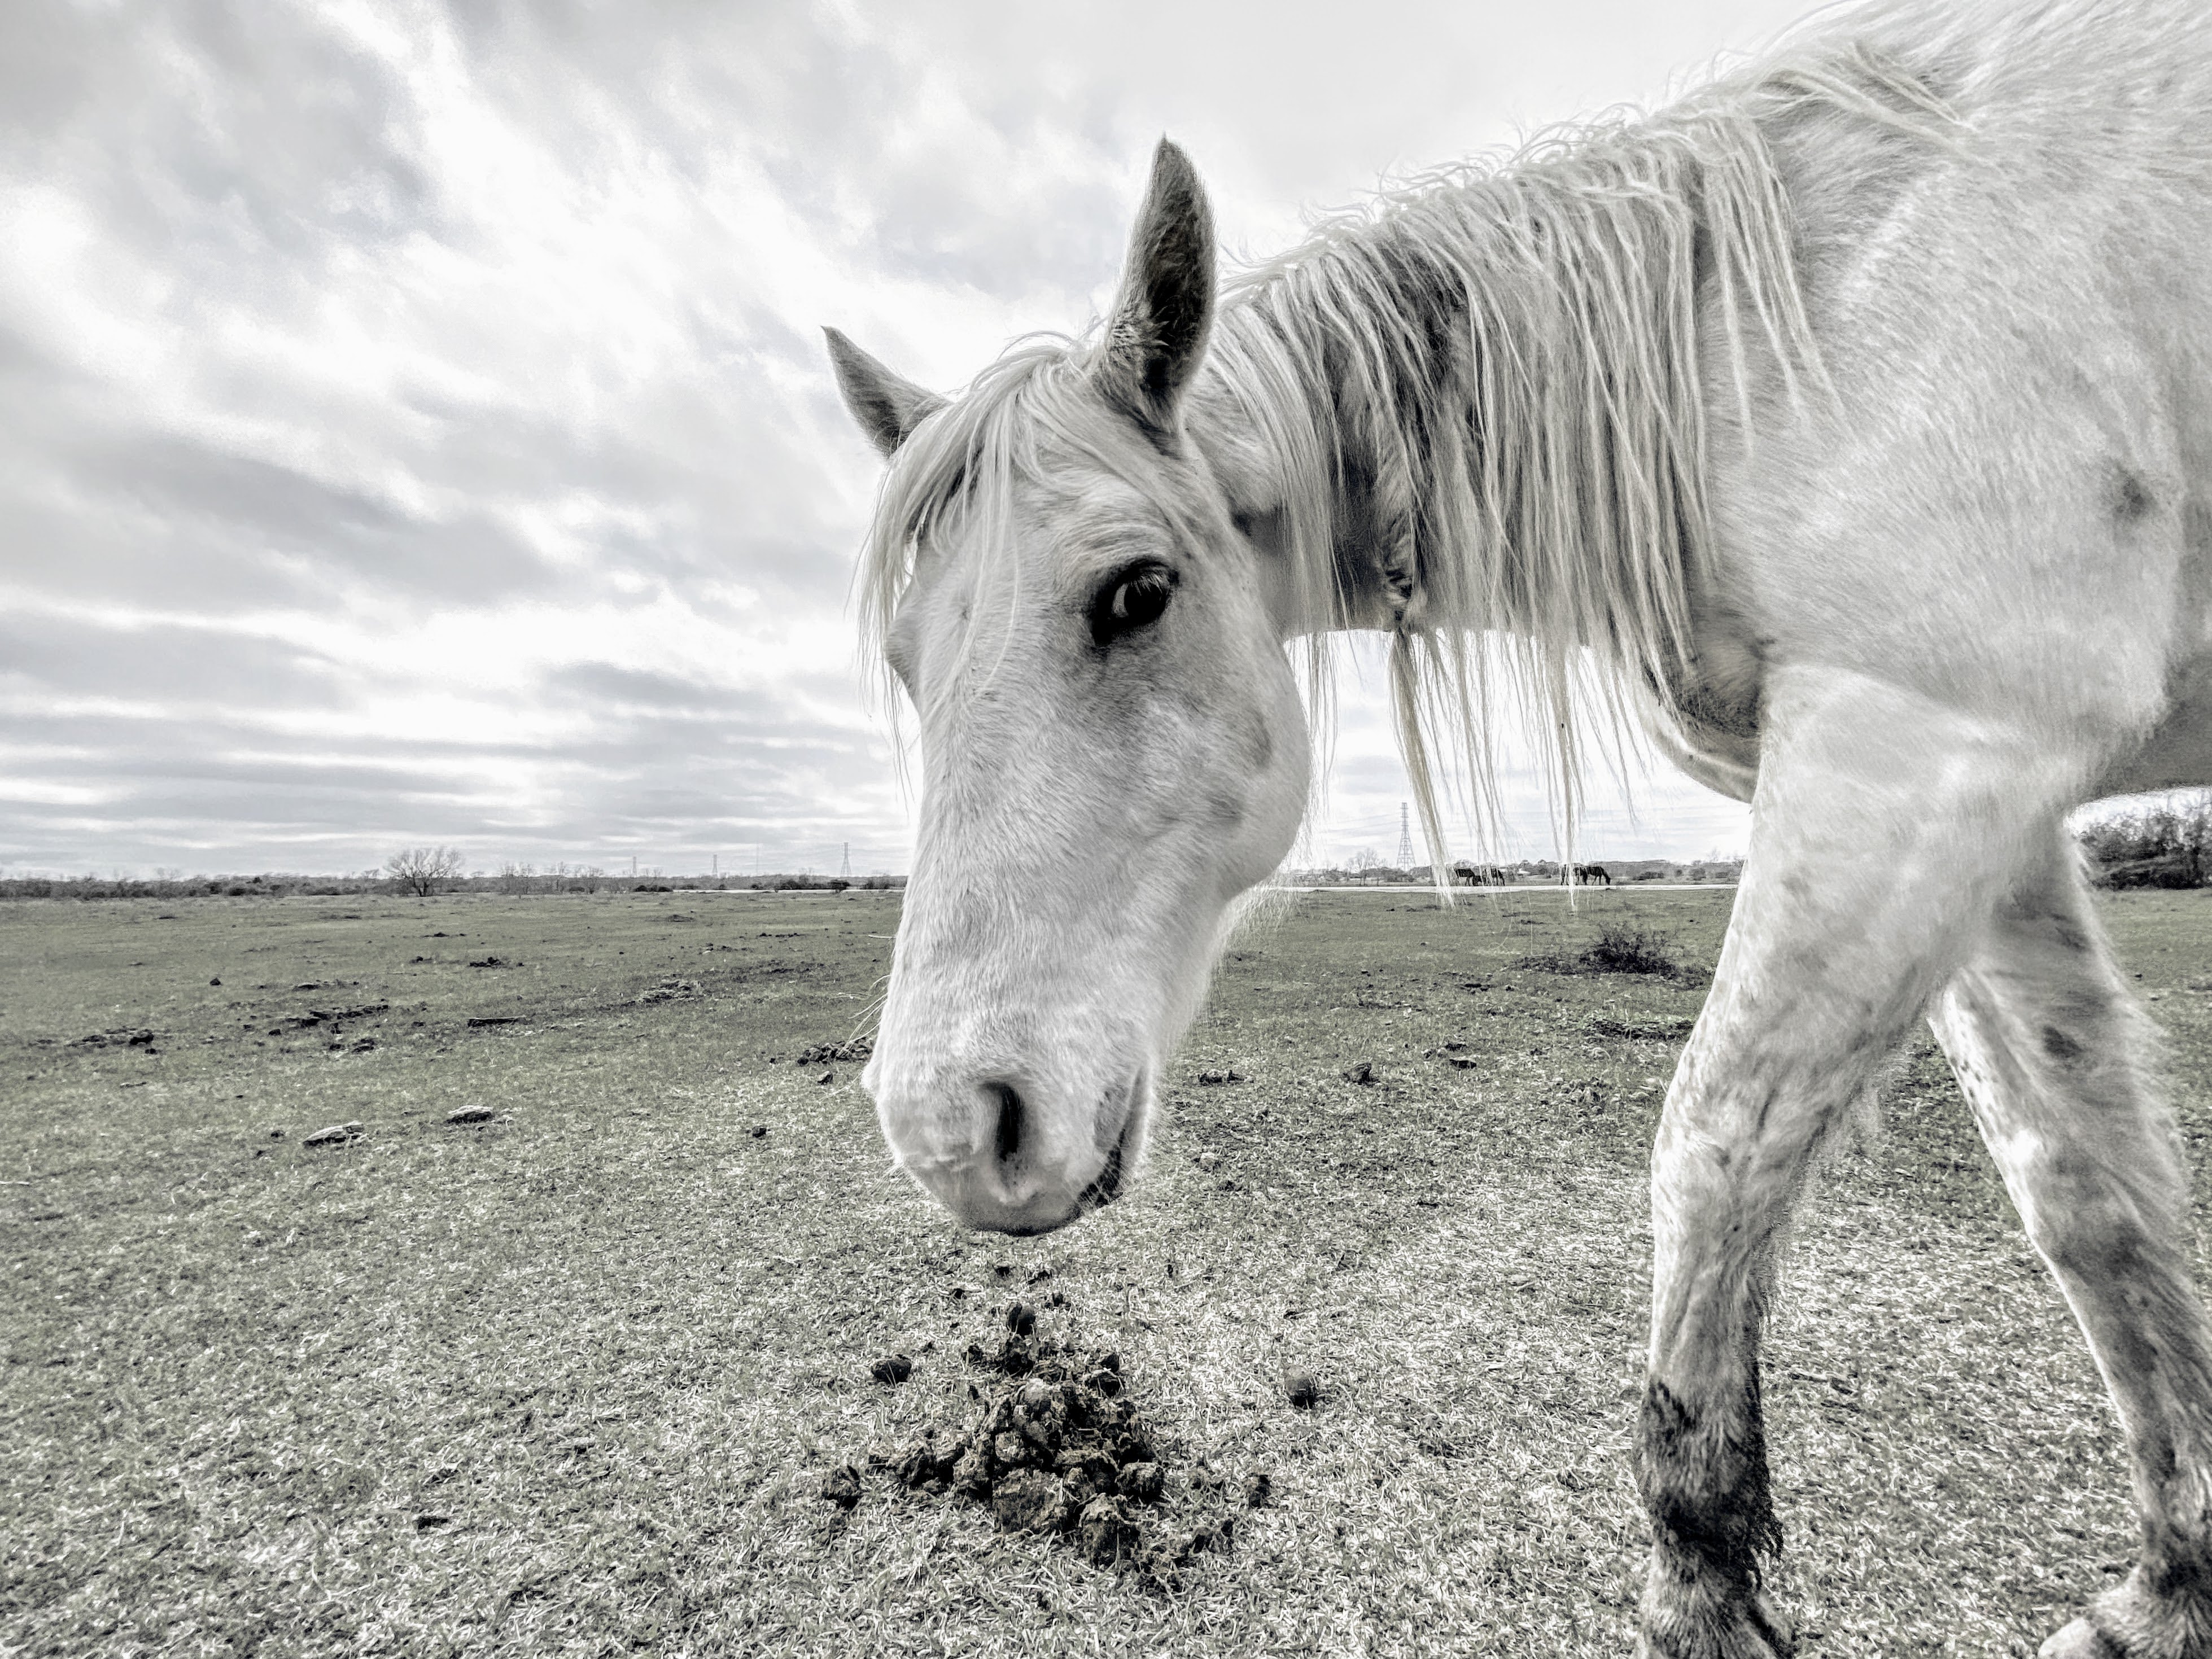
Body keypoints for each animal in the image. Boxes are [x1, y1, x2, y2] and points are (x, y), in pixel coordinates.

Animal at [826, 2, 2212, 1653]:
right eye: (905, 657)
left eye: (1136, 589)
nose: (948, 1129)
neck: (1776, 338)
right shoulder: (1988, 803)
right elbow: (2087, 1193)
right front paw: (2169, 1586)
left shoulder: (1914, 747)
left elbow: (1715, 1154)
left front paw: (1702, 1590)